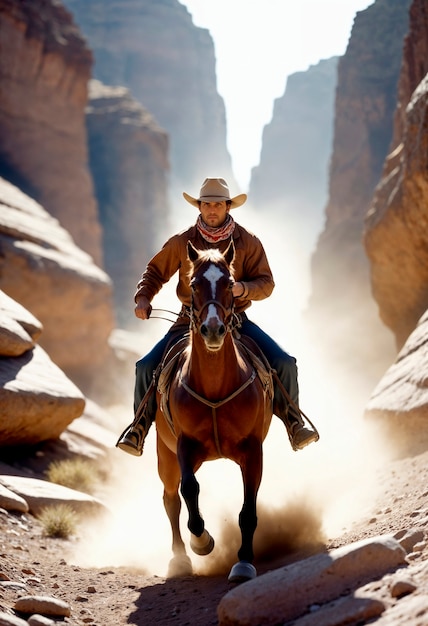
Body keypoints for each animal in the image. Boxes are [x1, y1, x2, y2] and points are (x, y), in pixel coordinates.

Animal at [155, 238, 272, 580]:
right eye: (193, 284)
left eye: (230, 283)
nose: (213, 330)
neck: (215, 386)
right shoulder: (184, 446)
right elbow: (189, 489)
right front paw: (202, 541)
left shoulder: (253, 450)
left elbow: (248, 509)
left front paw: (244, 562)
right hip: (163, 453)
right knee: (171, 498)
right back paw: (180, 558)